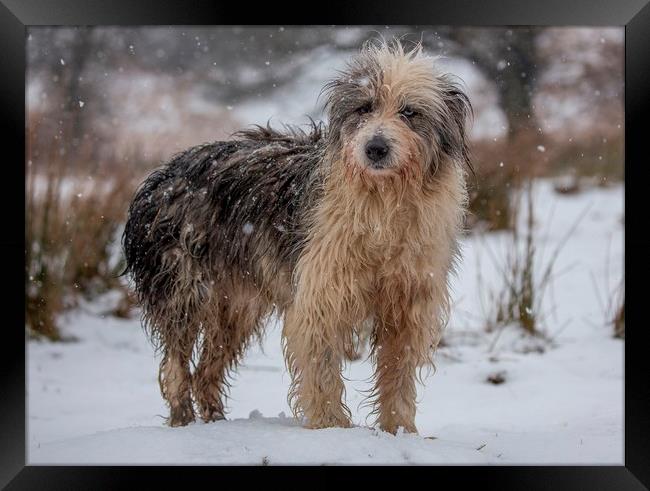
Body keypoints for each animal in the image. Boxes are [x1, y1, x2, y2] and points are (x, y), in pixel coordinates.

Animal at [124, 40, 470, 436]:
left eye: (410, 111)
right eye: (364, 107)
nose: (375, 148)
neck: (382, 204)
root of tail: (159, 177)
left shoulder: (408, 303)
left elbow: (397, 373)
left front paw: (399, 432)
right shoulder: (323, 291)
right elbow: (321, 367)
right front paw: (330, 427)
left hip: (236, 306)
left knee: (207, 369)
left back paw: (214, 421)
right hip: (183, 287)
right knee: (176, 367)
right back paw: (184, 421)